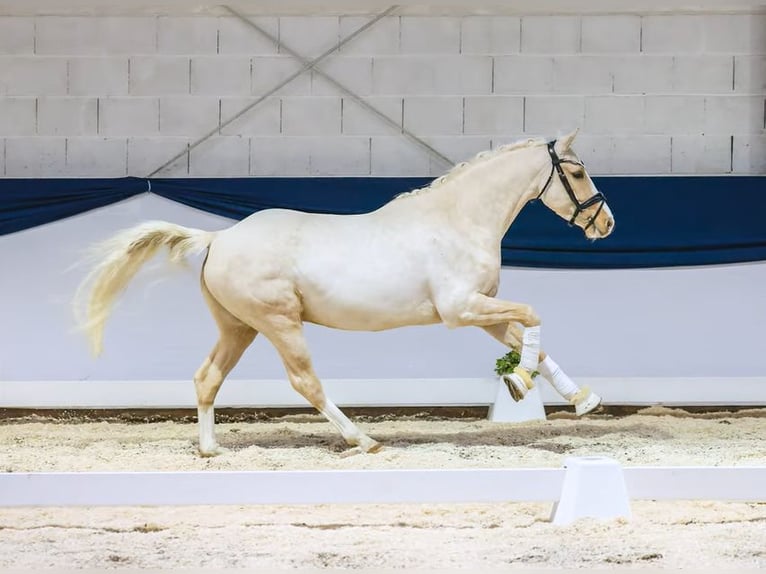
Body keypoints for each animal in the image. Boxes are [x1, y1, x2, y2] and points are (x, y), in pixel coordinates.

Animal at [75, 130, 614, 457]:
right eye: (578, 171)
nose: (605, 223)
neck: (457, 221)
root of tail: (220, 238)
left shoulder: (482, 312)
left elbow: (531, 339)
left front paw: (582, 399)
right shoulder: (461, 310)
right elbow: (534, 316)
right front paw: (519, 384)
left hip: (239, 327)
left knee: (207, 378)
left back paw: (211, 449)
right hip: (278, 322)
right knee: (305, 383)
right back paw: (364, 440)